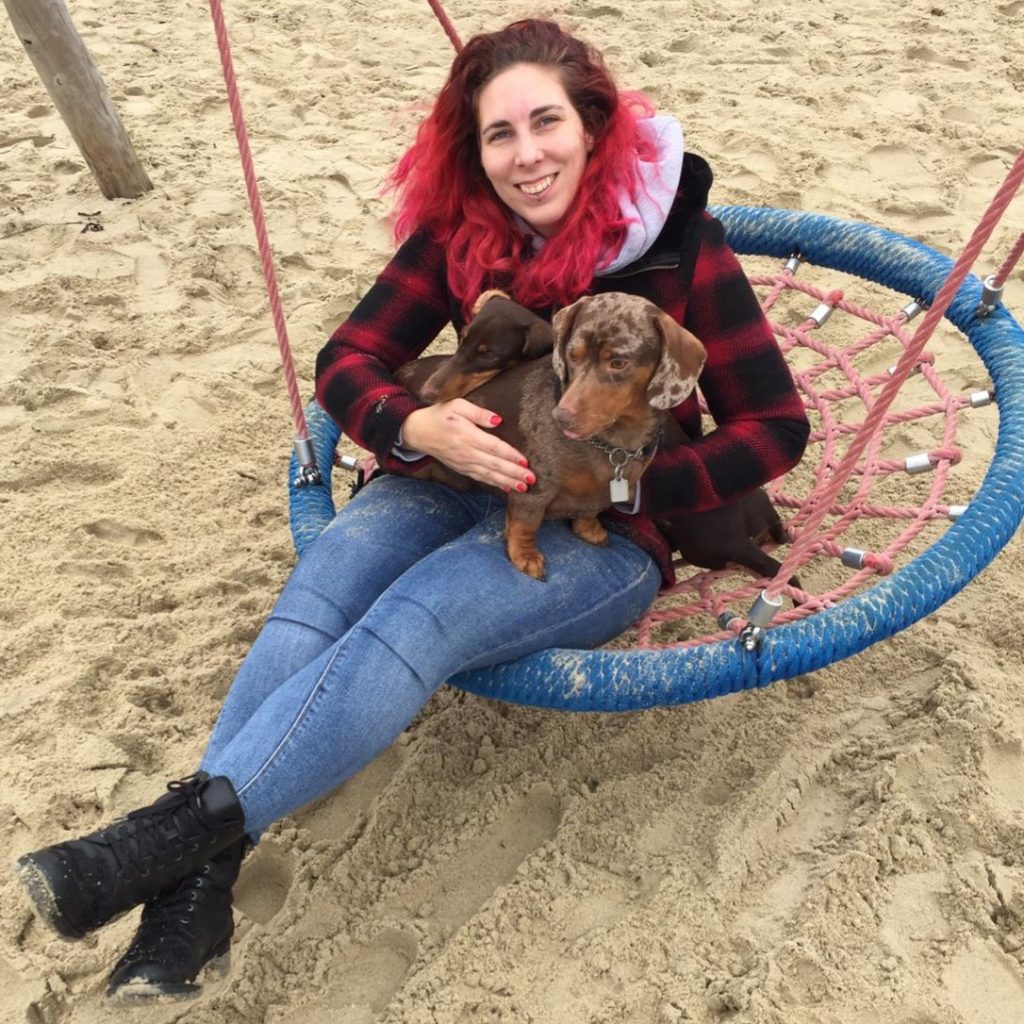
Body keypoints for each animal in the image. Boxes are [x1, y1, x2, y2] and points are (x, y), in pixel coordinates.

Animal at [396, 292, 706, 579]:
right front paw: (525, 555)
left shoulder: (605, 491)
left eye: (618, 363)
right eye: (573, 355)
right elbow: (525, 524)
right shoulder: (532, 488)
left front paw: (589, 529)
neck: (612, 444)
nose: (561, 416)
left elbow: (590, 511)